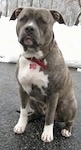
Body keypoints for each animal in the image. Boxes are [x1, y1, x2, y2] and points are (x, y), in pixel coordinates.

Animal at [9, 7, 77, 142]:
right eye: (23, 19)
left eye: (42, 21)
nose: (29, 28)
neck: (34, 58)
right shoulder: (22, 89)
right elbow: (23, 110)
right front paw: (21, 125)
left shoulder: (53, 93)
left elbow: (50, 116)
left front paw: (47, 134)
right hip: (33, 99)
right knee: (38, 113)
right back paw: (30, 117)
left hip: (67, 105)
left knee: (68, 120)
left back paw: (67, 130)